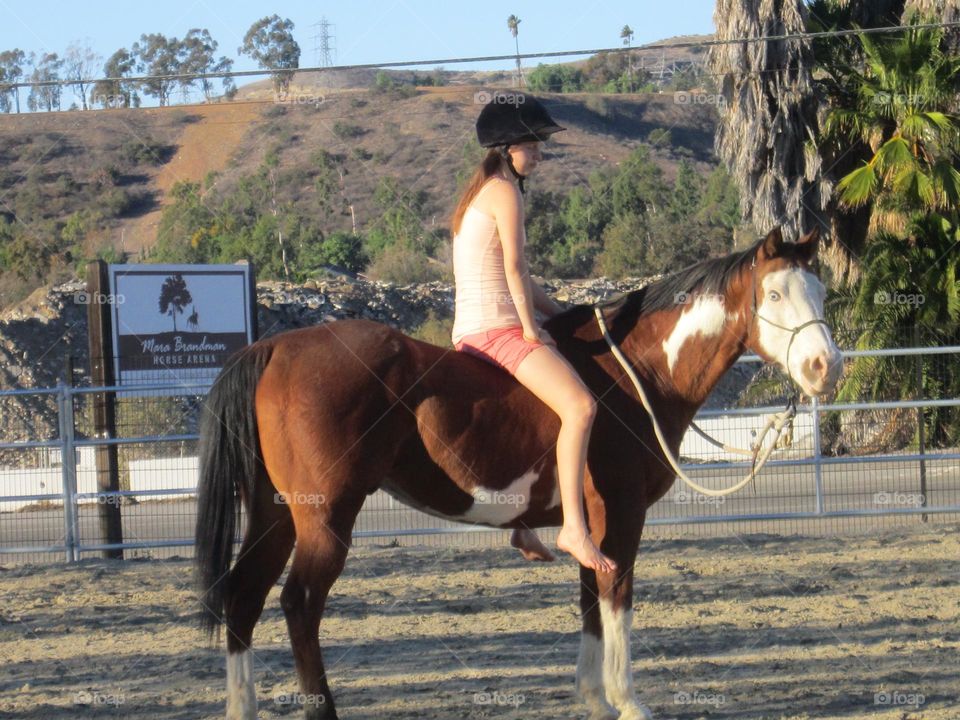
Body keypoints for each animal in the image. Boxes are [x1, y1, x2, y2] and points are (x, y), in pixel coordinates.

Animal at [195, 226, 840, 720]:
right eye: (774, 293)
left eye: (820, 290)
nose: (824, 367)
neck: (635, 373)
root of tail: (274, 349)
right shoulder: (622, 515)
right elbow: (617, 598)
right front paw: (627, 701)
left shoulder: (590, 525)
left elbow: (590, 600)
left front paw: (594, 698)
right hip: (325, 519)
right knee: (299, 603)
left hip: (277, 514)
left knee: (243, 596)